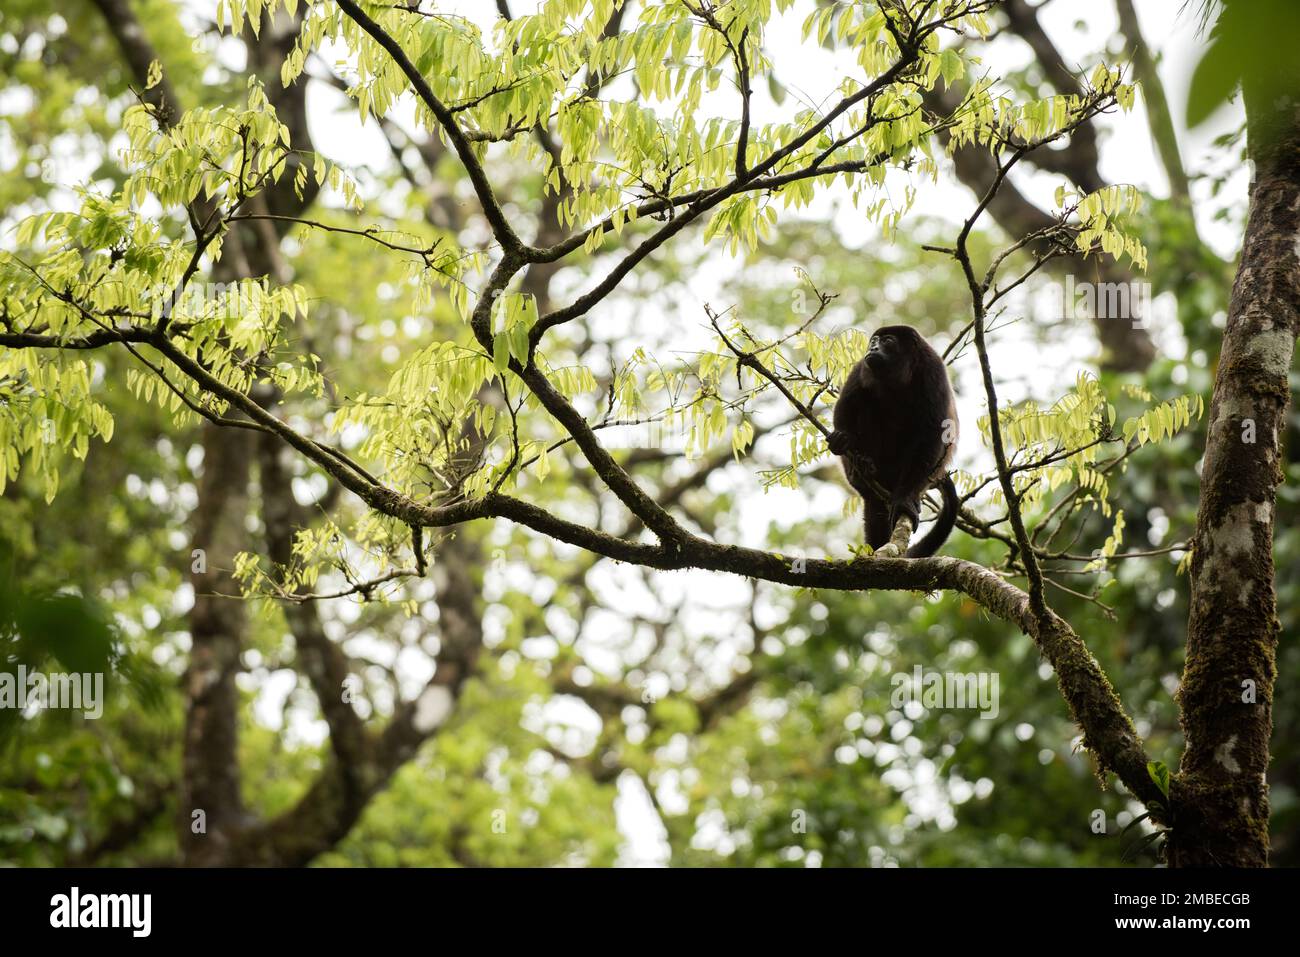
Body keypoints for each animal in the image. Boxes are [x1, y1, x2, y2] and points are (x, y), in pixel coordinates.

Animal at [827, 325, 959, 558]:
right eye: (873, 341)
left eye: (888, 340)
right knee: (865, 402)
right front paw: (843, 438)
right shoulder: (861, 367)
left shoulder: (933, 370)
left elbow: (933, 431)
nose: (873, 347)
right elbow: (845, 406)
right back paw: (862, 468)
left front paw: (905, 499)